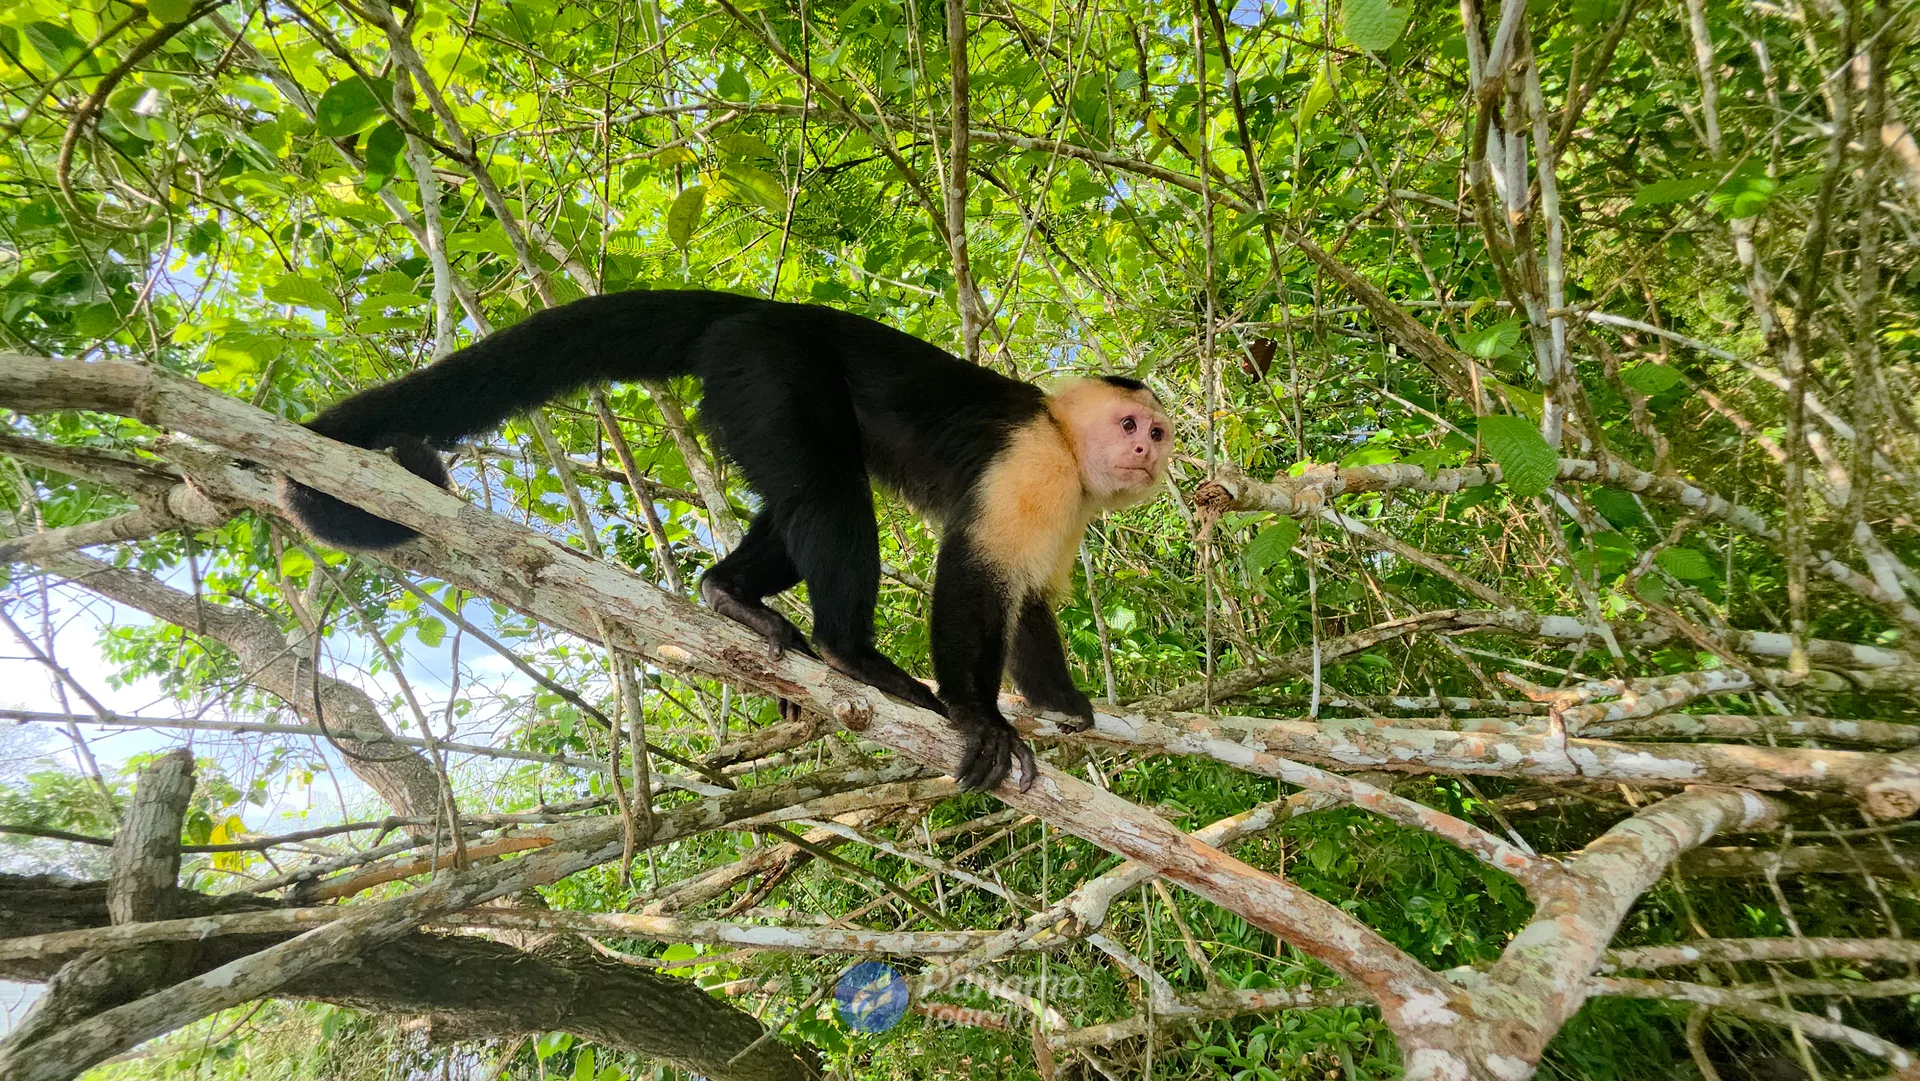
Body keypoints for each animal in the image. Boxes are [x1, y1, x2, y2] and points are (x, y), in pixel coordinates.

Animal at [282, 289, 1170, 792]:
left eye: (1157, 433)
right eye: (1132, 424)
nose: (1149, 452)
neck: (1063, 438)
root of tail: (773, 310)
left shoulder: (1075, 501)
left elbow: (1030, 602)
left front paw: (1061, 701)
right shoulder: (1037, 466)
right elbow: (975, 574)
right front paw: (981, 718)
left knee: (803, 495)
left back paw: (727, 591)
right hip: (768, 367)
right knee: (831, 490)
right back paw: (851, 652)